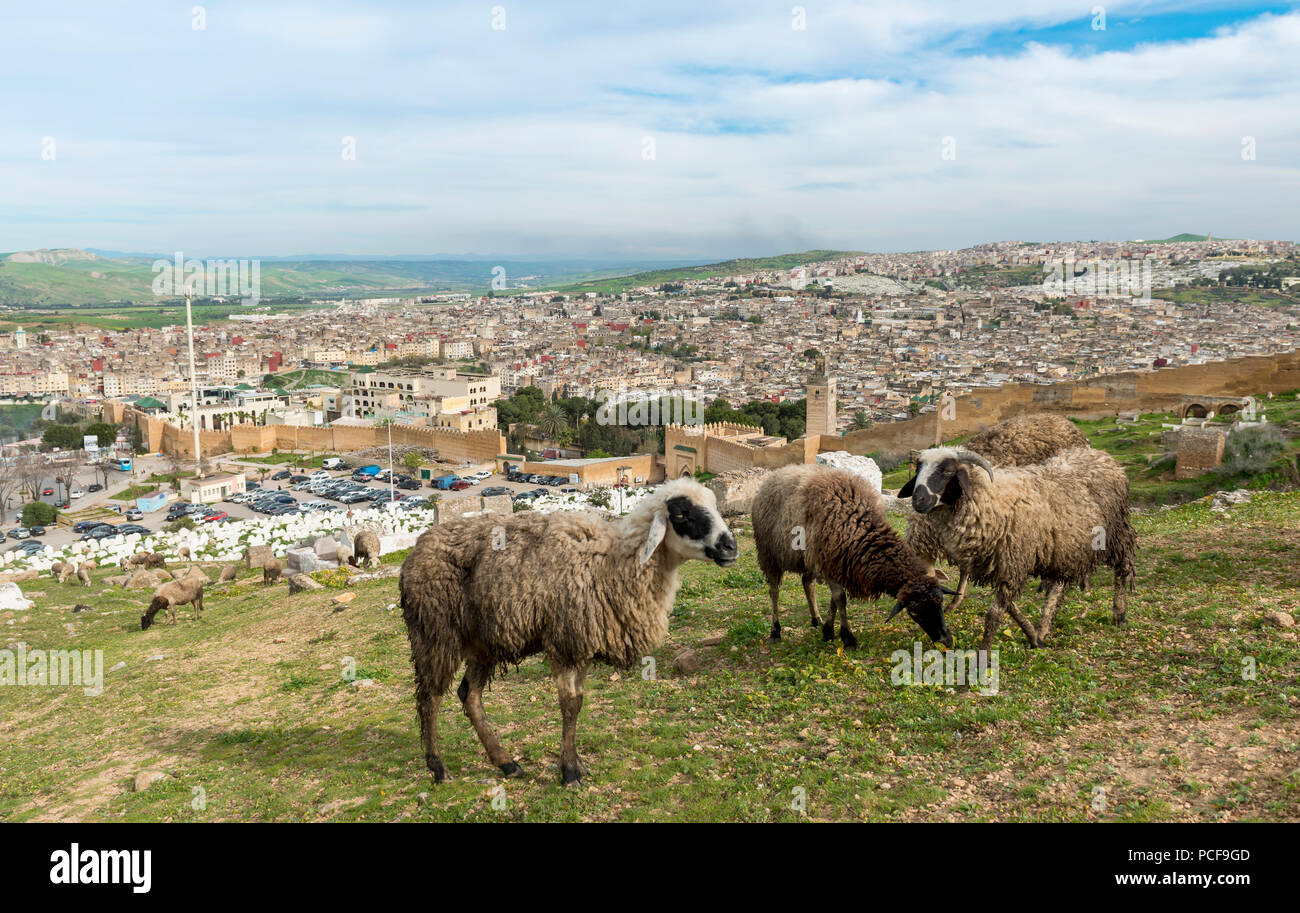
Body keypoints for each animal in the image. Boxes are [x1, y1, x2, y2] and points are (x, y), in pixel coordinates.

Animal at [395, 478, 743, 785]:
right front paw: (569, 772)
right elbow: (568, 705)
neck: (612, 561)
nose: (730, 547)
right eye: (682, 514)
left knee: (469, 695)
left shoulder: (583, 642)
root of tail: (416, 550)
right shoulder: (564, 642)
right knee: (429, 698)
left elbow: (579, 703)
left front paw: (575, 763)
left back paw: (505, 762)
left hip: (482, 641)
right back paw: (438, 768)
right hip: (435, 633)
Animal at [754, 468, 956, 655]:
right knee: (774, 592)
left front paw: (828, 631)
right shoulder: (830, 564)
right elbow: (840, 599)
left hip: (807, 559)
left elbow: (833, 600)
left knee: (807, 583)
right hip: (769, 555)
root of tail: (777, 473)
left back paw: (816, 619)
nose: (946, 641)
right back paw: (775, 631)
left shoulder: (837, 564)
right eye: (914, 612)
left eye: (941, 602)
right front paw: (847, 638)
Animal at [899, 444, 1133, 650]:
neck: (988, 499)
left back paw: (1119, 614)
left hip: (1115, 533)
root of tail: (1104, 457)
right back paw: (1044, 627)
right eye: (918, 469)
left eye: (947, 471)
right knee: (1059, 585)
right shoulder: (999, 564)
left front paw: (983, 657)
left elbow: (994, 615)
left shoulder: (1012, 560)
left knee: (1123, 567)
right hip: (1066, 546)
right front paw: (1034, 638)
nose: (918, 500)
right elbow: (1011, 607)